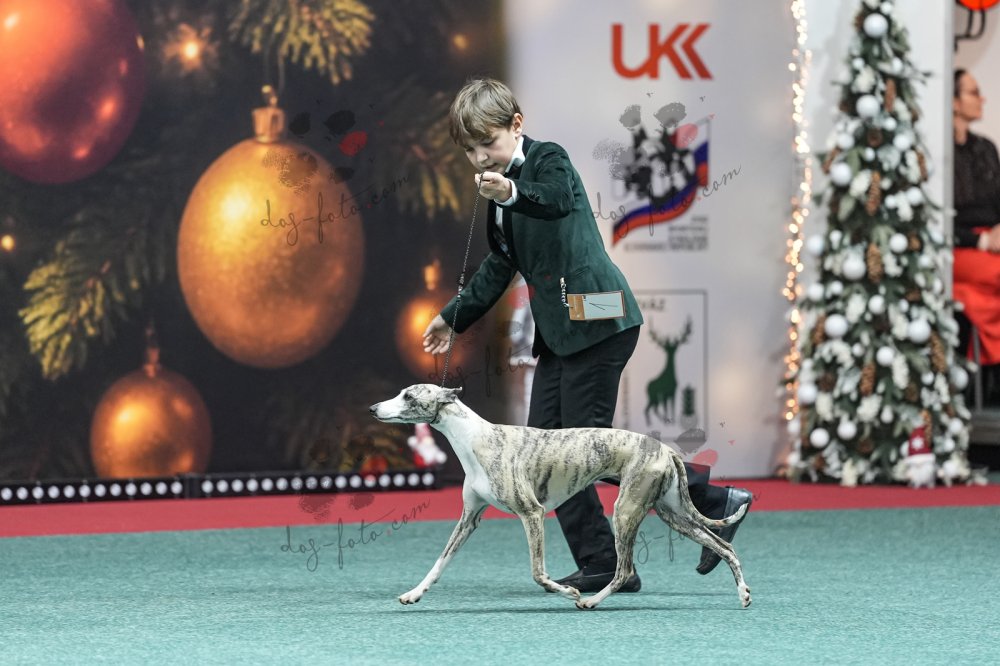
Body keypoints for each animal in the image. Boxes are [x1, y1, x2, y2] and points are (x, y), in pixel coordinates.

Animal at [369, 383, 750, 610]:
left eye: (408, 396)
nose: (373, 409)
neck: (476, 439)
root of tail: (666, 449)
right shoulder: (469, 518)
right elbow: (439, 562)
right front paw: (414, 593)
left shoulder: (532, 514)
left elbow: (538, 574)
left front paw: (570, 592)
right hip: (670, 512)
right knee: (724, 545)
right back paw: (744, 593)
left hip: (626, 511)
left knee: (624, 569)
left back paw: (591, 601)